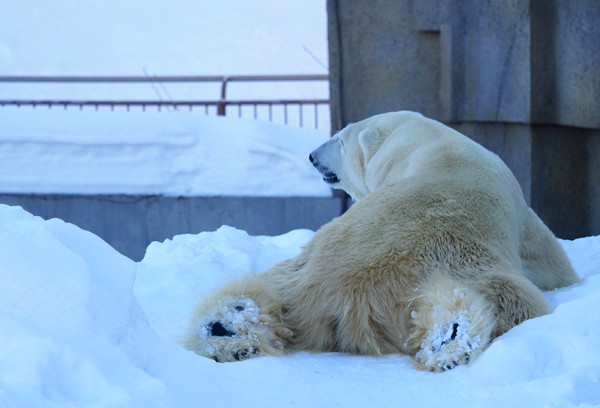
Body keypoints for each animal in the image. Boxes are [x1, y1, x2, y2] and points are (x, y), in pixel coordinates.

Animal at [185, 111, 580, 370]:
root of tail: (343, 297)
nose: (311, 155)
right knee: (512, 299)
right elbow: (552, 261)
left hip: (300, 267)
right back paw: (449, 339)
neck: (434, 146)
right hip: (463, 261)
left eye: (340, 138)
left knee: (265, 287)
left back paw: (226, 327)